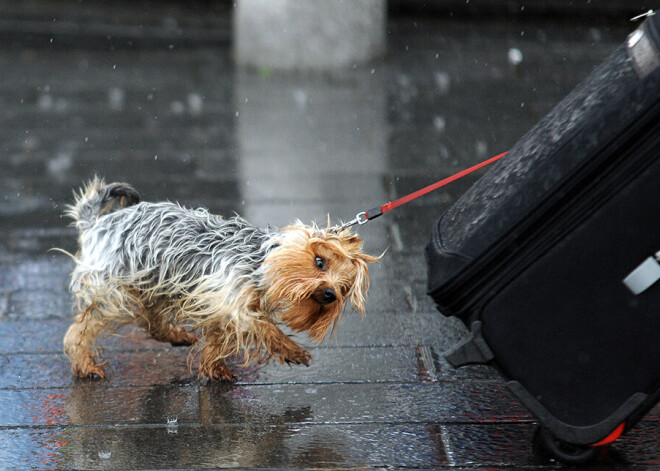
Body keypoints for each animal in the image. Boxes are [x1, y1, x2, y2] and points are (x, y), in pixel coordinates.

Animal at [63, 179, 382, 382]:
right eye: (319, 262)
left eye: (343, 288)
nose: (329, 294)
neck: (259, 262)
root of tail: (96, 222)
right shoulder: (231, 301)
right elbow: (263, 328)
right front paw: (292, 350)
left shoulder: (215, 304)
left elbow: (218, 339)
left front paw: (213, 369)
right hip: (113, 290)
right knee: (81, 329)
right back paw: (85, 365)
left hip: (153, 285)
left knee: (150, 320)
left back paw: (177, 335)